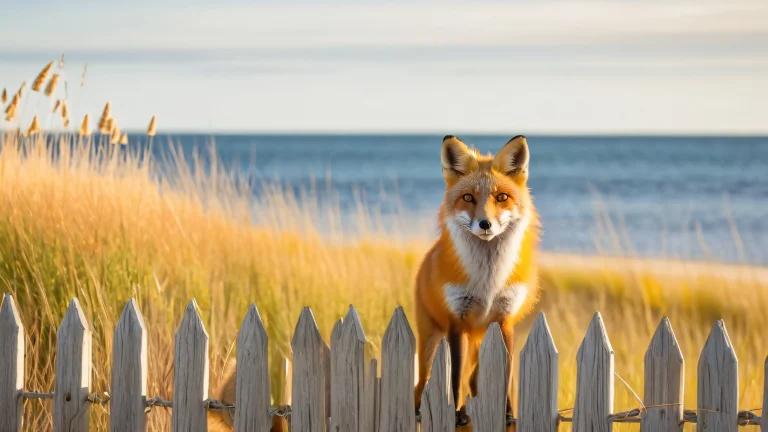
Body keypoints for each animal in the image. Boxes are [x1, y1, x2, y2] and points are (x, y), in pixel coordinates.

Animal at [414, 135, 540, 427]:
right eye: (468, 197)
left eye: (502, 197)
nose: (485, 224)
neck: (488, 279)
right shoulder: (456, 323)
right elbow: (454, 381)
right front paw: (457, 414)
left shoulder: (504, 322)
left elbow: (505, 378)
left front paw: (507, 414)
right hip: (431, 342)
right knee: (423, 383)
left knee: (474, 381)